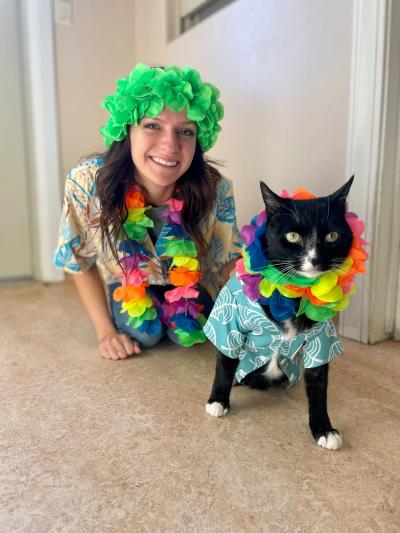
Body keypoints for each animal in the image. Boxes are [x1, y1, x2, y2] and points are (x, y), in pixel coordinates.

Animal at [205, 178, 354, 448]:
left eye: (332, 236)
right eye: (292, 236)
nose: (314, 259)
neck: (293, 295)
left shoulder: (321, 338)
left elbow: (319, 382)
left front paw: (324, 429)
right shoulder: (229, 319)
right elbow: (225, 360)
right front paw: (218, 400)